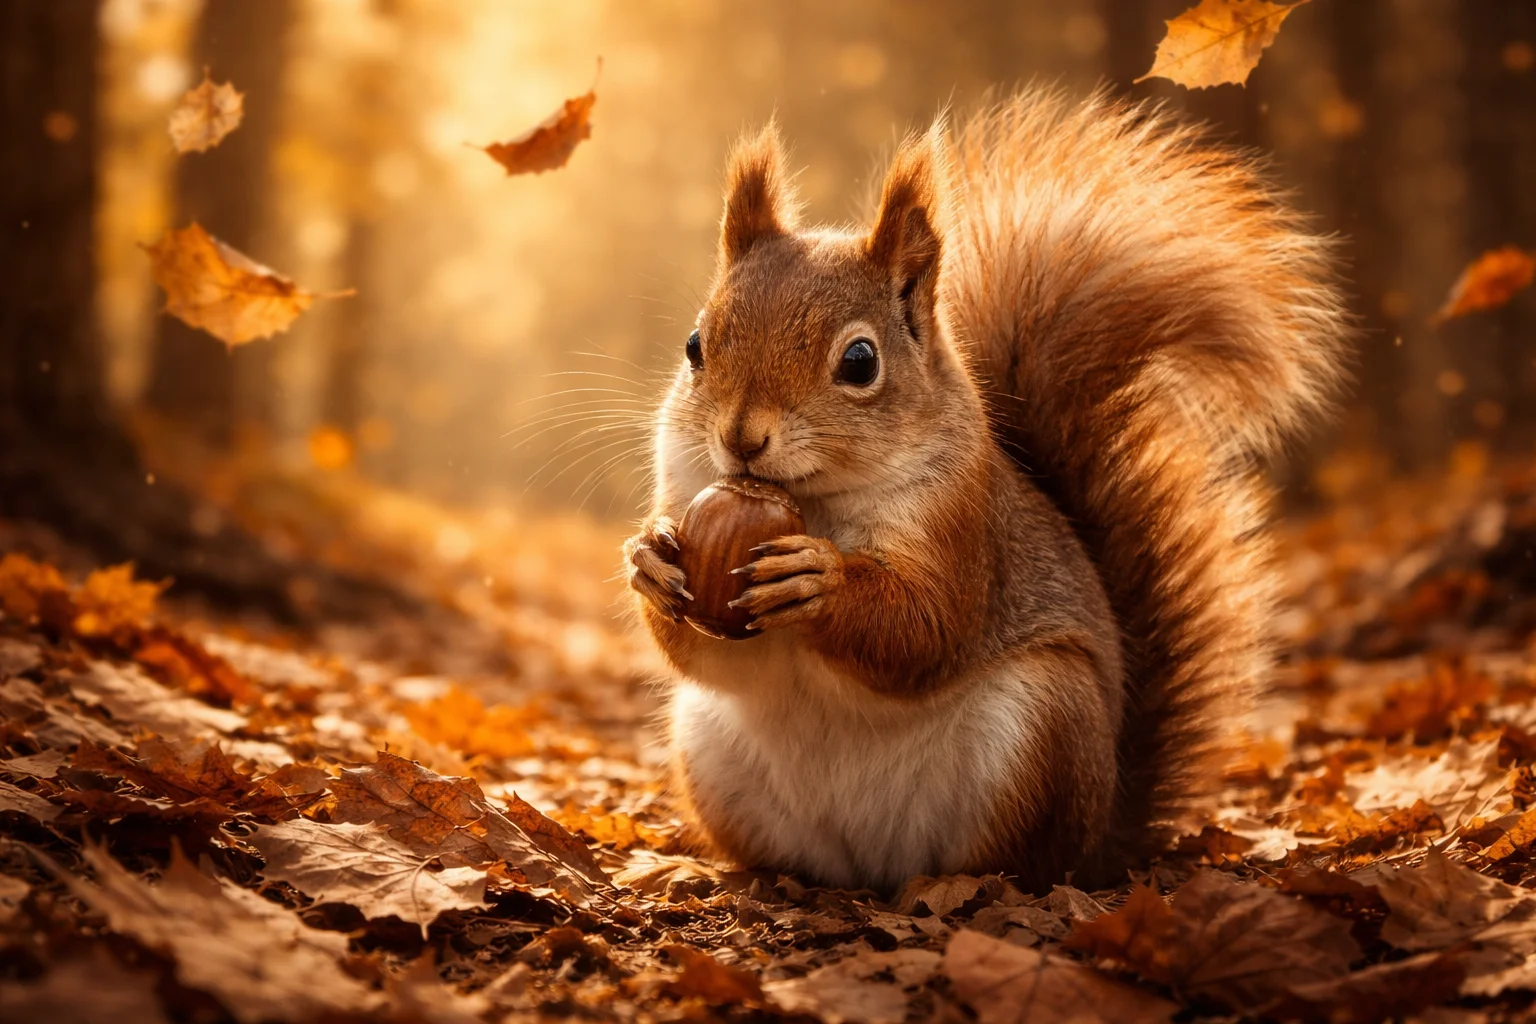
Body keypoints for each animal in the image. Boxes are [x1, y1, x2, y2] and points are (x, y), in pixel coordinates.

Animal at [624, 90, 1348, 892]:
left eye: (860, 361)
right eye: (695, 346)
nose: (741, 438)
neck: (813, 502)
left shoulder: (962, 527)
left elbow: (925, 627)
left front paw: (820, 579)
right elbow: (704, 655)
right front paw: (650, 561)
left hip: (1044, 728)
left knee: (1014, 863)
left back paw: (956, 887)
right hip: (710, 748)